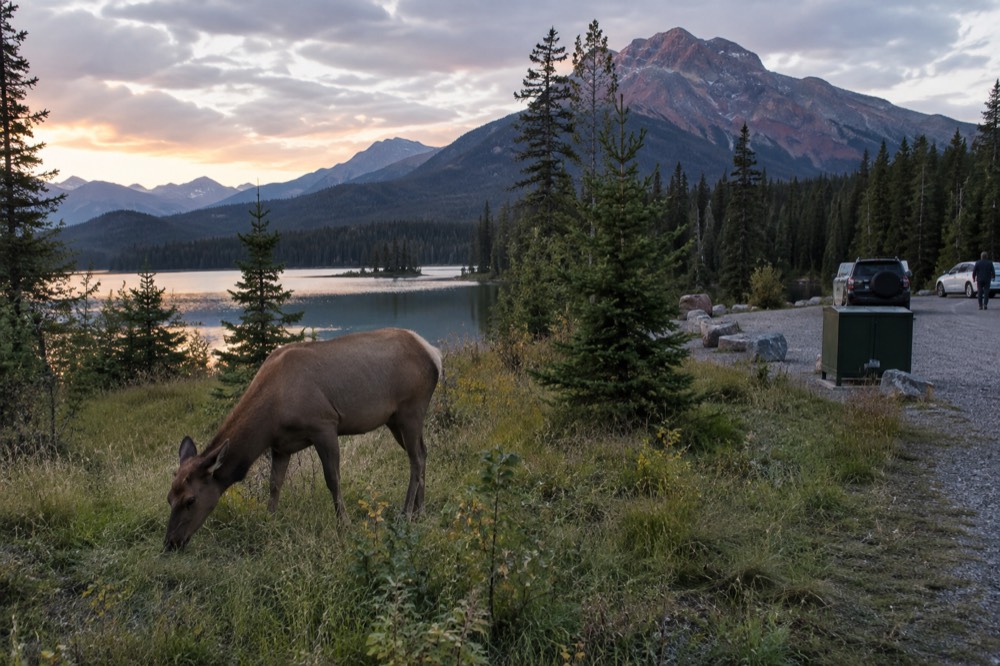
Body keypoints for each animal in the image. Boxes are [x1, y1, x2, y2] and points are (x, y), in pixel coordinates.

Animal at [164, 328, 442, 551]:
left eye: (190, 500)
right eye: (169, 498)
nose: (170, 543)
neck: (270, 418)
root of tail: (435, 354)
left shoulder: (324, 424)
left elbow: (332, 480)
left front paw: (344, 524)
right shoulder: (280, 446)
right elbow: (275, 484)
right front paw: (270, 519)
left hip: (411, 408)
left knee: (416, 458)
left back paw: (406, 513)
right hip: (395, 418)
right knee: (423, 452)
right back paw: (421, 511)